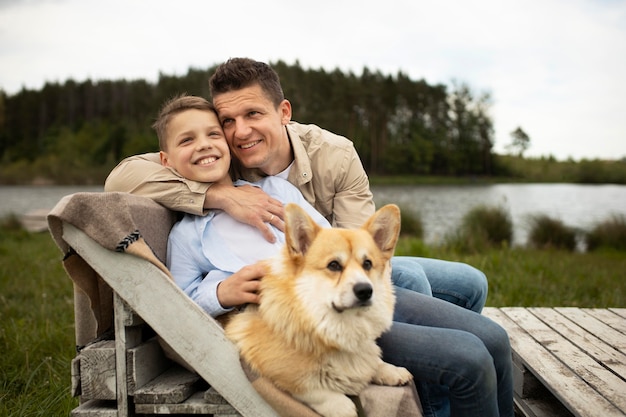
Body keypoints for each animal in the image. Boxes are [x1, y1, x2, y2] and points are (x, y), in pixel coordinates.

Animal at [223, 203, 410, 414]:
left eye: (367, 264)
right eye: (334, 265)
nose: (365, 290)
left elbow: (373, 360)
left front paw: (391, 370)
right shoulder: (277, 369)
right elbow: (313, 388)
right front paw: (342, 406)